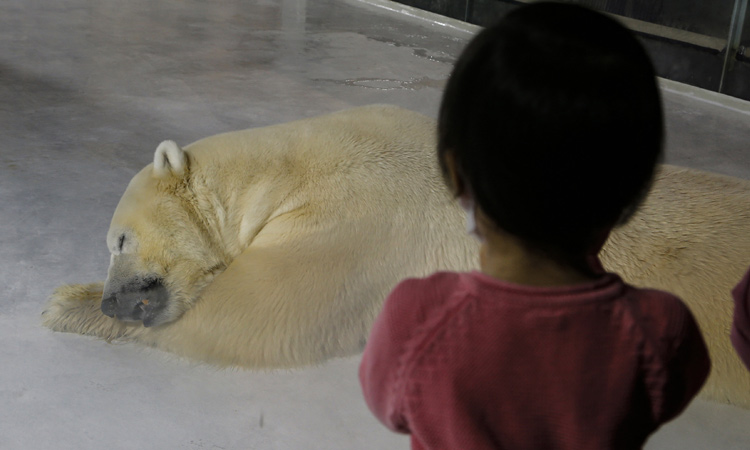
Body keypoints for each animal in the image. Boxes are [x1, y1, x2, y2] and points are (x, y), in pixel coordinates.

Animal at [44, 104, 750, 408]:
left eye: (118, 240)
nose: (116, 298)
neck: (286, 168)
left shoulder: (356, 218)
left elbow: (258, 314)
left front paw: (64, 302)